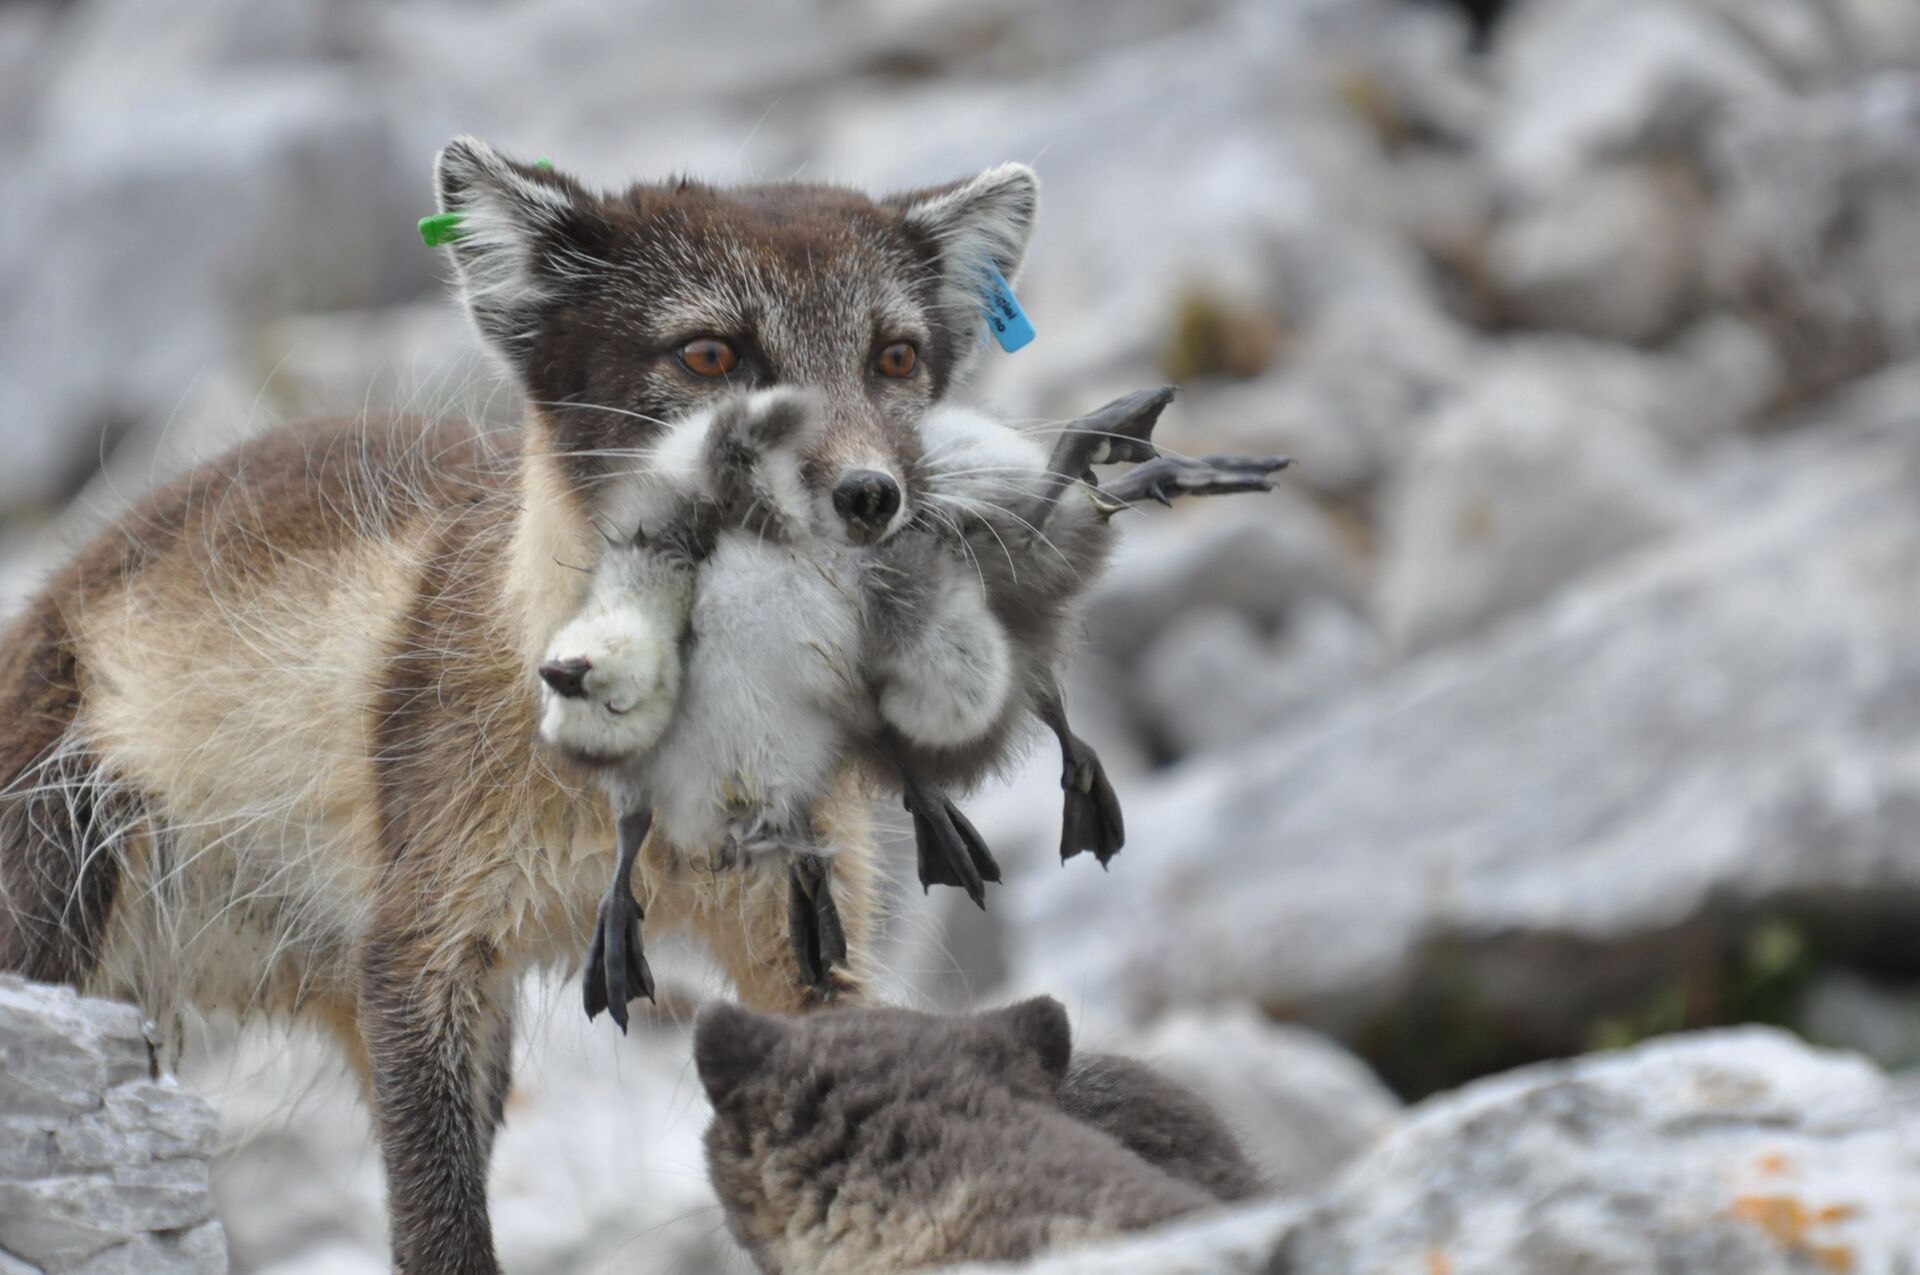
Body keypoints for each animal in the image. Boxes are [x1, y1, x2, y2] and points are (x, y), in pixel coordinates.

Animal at [0, 137, 1050, 1273]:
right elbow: (445, 1229)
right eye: (710, 356)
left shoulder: (807, 938)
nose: (867, 496)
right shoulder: (417, 949)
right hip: (57, 908)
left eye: (893, 359)